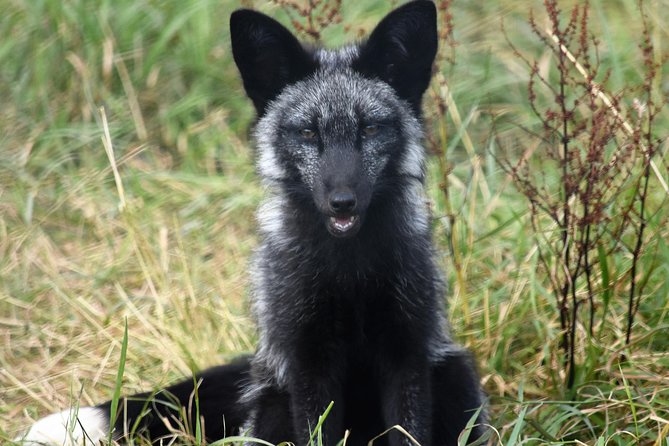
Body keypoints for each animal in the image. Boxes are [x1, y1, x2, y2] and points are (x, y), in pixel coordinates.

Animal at [17, 0, 486, 446]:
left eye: (370, 129)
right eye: (308, 133)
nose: (342, 202)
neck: (348, 273)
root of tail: (257, 367)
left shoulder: (406, 351)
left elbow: (409, 433)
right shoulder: (308, 359)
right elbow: (317, 432)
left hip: (455, 375)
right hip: (276, 402)